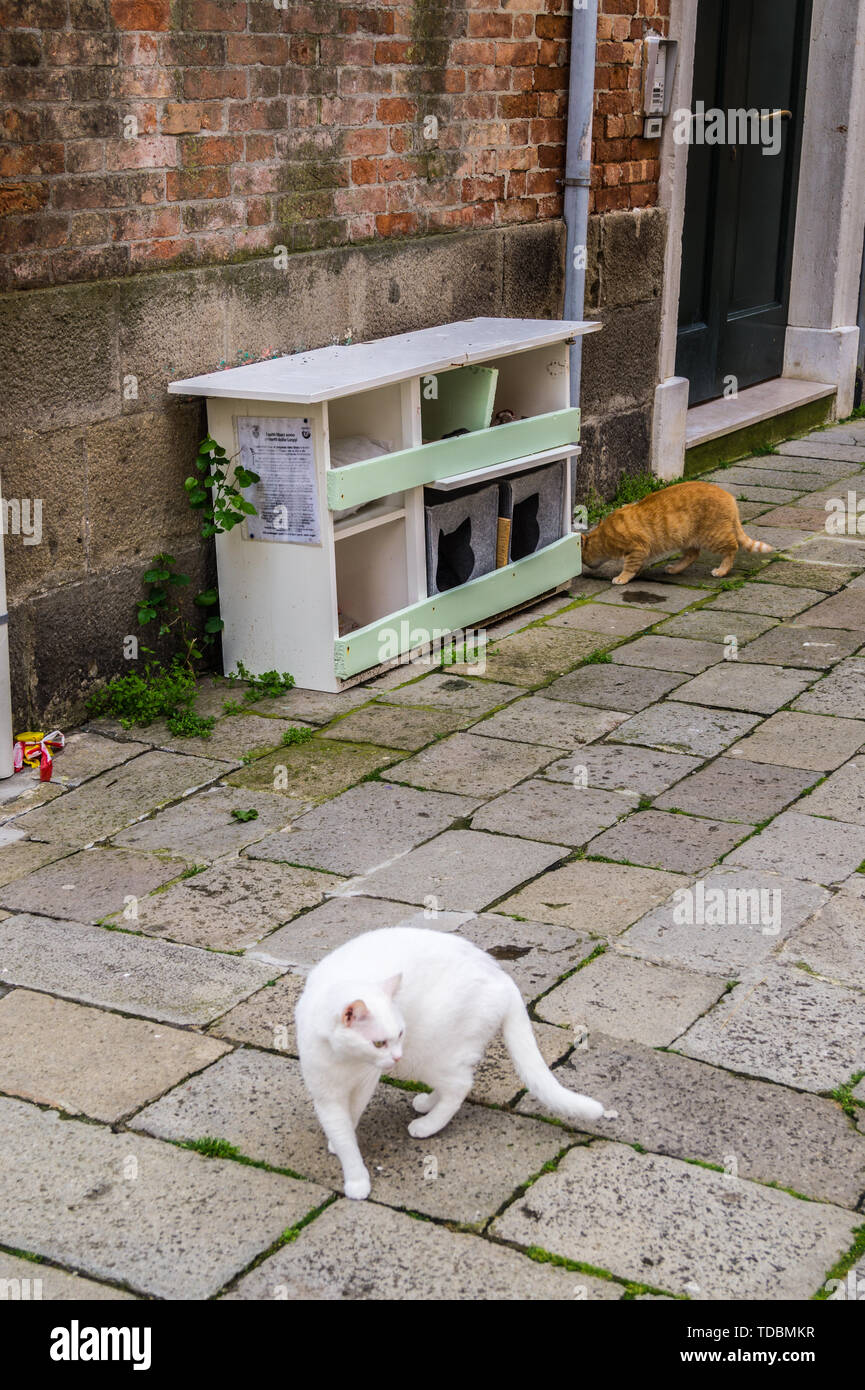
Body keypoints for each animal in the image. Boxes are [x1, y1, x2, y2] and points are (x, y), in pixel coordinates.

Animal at [294, 928, 606, 1200]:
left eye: (399, 1034)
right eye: (380, 1043)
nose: (395, 1056)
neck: (345, 1060)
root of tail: (500, 974)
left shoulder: (364, 1083)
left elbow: (350, 1122)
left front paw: (356, 1180)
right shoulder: (325, 1094)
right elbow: (341, 1128)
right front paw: (342, 1150)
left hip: (427, 1054)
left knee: (460, 1086)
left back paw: (427, 1124)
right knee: (452, 1083)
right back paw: (427, 1103)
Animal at [584, 480, 773, 583]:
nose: (585, 566)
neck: (605, 534)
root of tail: (729, 497)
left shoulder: (638, 548)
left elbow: (629, 566)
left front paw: (623, 577)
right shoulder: (642, 552)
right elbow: (637, 565)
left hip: (713, 536)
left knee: (732, 548)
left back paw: (722, 570)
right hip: (685, 538)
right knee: (692, 555)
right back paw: (675, 569)